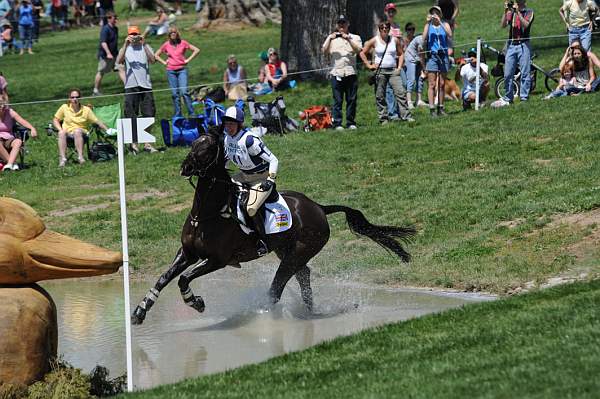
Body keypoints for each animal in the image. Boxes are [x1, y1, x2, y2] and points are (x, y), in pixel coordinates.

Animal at [132, 131, 414, 324]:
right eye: (193, 144)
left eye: (208, 147)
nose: (185, 167)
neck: (207, 214)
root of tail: (319, 208)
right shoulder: (187, 253)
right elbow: (164, 278)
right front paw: (139, 311)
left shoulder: (217, 260)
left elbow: (183, 279)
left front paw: (196, 302)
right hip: (286, 251)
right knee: (303, 275)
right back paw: (310, 311)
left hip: (298, 251)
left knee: (278, 288)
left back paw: (265, 315)